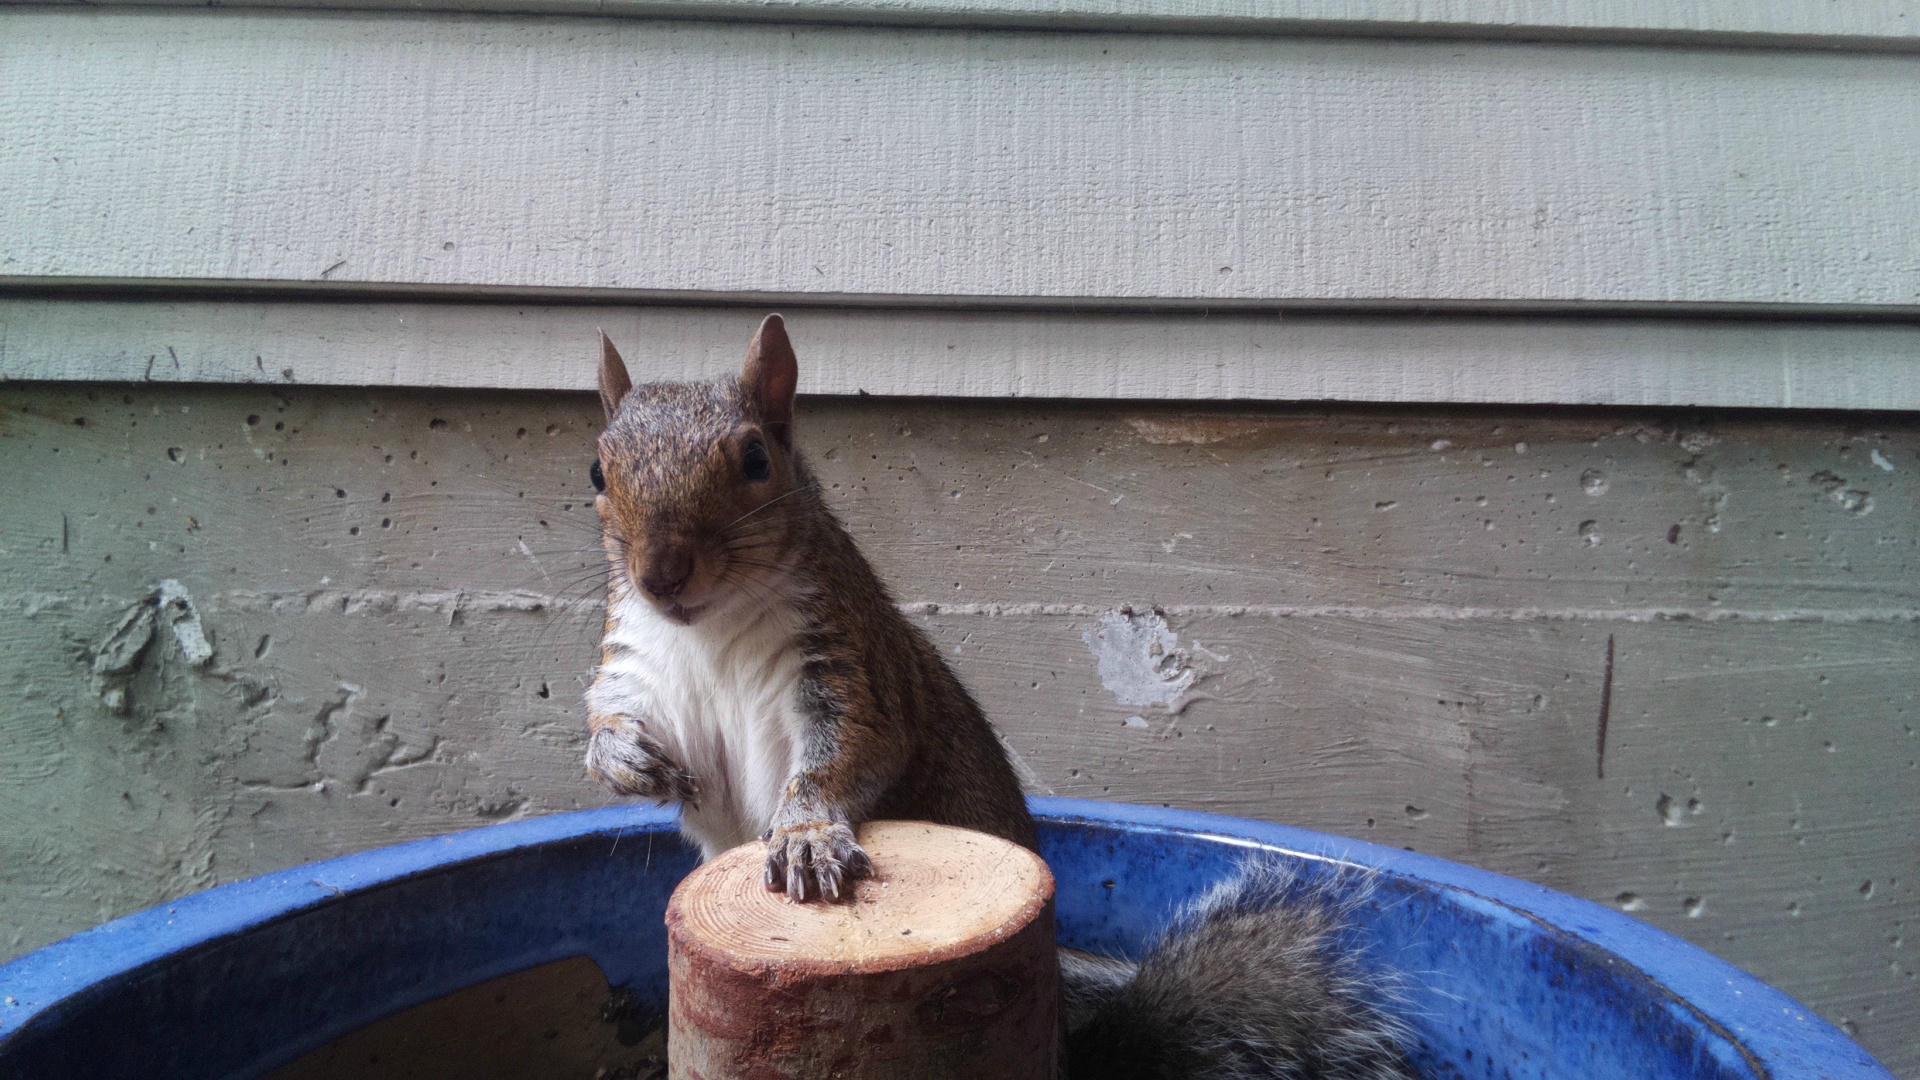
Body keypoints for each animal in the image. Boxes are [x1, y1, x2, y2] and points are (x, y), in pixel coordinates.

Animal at [582, 314, 1418, 1079]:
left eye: (756, 458)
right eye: (597, 473)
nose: (661, 575)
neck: (708, 630)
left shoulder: (849, 669)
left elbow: (844, 755)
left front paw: (806, 834)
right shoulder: (637, 670)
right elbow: (610, 721)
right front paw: (623, 758)